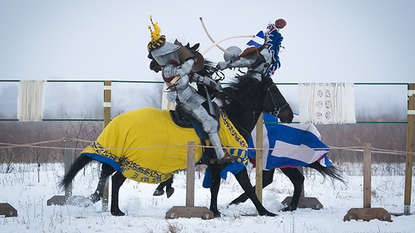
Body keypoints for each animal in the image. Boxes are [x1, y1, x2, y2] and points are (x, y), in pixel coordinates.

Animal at [60, 74, 294, 217]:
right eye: (274, 90)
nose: (288, 114)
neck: (233, 119)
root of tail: (117, 123)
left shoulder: (214, 165)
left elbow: (215, 188)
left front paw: (215, 211)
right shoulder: (231, 162)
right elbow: (247, 187)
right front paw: (265, 212)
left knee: (112, 178)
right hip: (134, 161)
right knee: (116, 179)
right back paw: (116, 210)